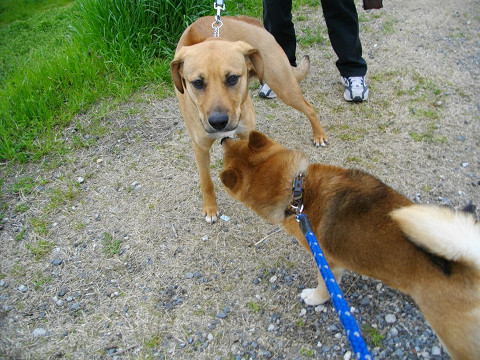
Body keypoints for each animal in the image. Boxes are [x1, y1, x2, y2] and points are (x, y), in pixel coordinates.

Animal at [170, 17, 326, 225]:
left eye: (232, 78)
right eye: (197, 83)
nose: (218, 122)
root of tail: (249, 20)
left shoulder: (246, 135)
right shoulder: (200, 148)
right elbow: (206, 182)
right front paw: (211, 209)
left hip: (284, 86)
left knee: (309, 108)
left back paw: (319, 135)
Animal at [220, 131, 480, 360]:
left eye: (222, 160)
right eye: (233, 141)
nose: (222, 138)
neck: (298, 192)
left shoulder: (328, 263)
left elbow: (324, 288)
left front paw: (314, 298)